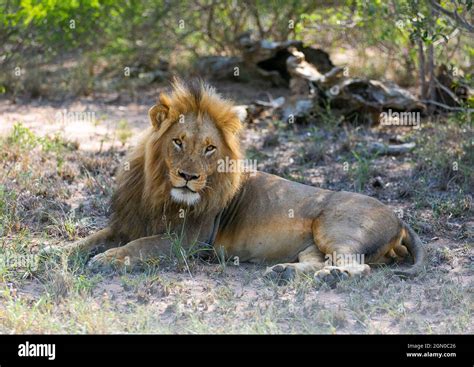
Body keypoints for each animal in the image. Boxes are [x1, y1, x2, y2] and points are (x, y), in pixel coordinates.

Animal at [71, 77, 426, 284]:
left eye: (210, 148)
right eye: (178, 142)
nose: (188, 177)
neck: (159, 191)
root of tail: (400, 218)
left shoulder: (188, 240)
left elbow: (140, 245)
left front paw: (107, 260)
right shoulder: (126, 224)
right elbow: (87, 240)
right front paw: (59, 251)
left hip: (337, 229)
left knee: (357, 266)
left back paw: (333, 277)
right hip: (314, 245)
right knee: (317, 262)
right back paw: (284, 272)